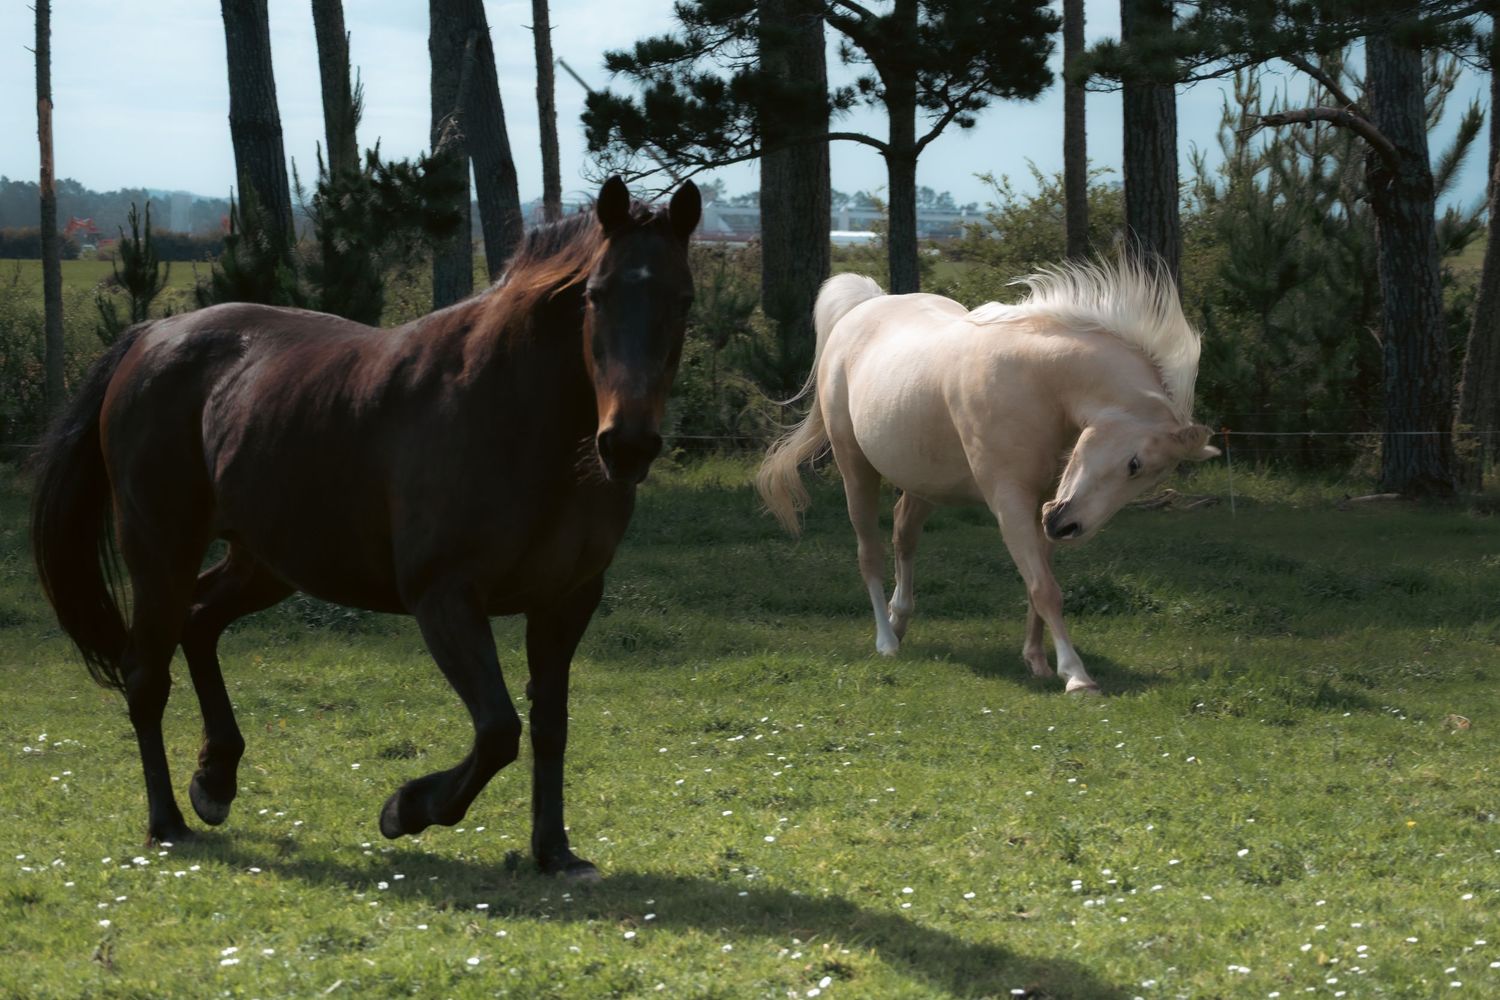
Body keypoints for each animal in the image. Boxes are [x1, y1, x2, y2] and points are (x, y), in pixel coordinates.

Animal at [30, 176, 700, 879]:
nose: (627, 445)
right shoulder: (445, 597)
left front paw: (555, 852)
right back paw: (168, 822)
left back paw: (215, 779)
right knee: (145, 675)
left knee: (200, 621)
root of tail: (153, 334)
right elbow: (498, 729)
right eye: (596, 294)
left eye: (683, 300)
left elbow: (549, 725)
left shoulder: (566, 601)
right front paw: (408, 809)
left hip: (267, 560)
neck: (516, 413)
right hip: (161, 550)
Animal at [756, 256, 1218, 694]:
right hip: (857, 470)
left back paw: (900, 619)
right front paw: (1076, 676)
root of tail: (865, 305)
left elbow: (1037, 584)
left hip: (924, 481)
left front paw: (1037, 660)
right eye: (1134, 464)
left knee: (904, 536)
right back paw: (886, 641)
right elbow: (1045, 588)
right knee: (869, 553)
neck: (1036, 382)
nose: (1069, 528)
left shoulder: (1041, 502)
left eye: (1147, 478)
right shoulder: (1009, 501)